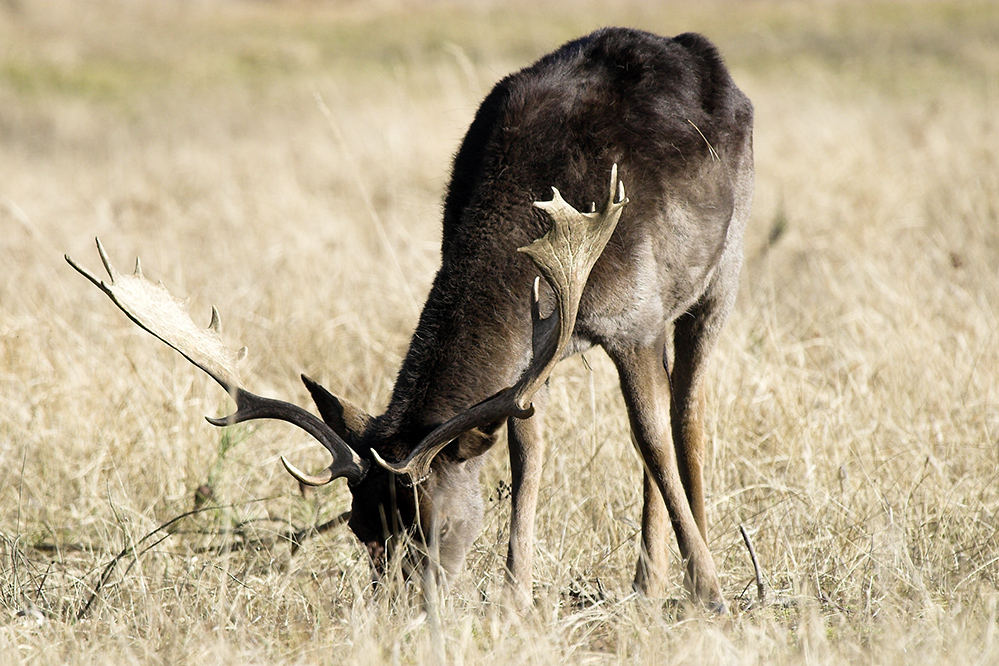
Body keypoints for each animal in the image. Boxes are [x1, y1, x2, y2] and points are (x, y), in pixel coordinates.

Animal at [66, 27, 752, 612]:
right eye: (358, 523)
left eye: (436, 525)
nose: (400, 608)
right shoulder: (534, 359)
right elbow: (526, 451)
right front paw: (516, 596)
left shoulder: (637, 319)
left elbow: (651, 439)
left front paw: (708, 590)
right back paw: (652, 580)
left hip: (722, 272)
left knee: (687, 411)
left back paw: (682, 576)